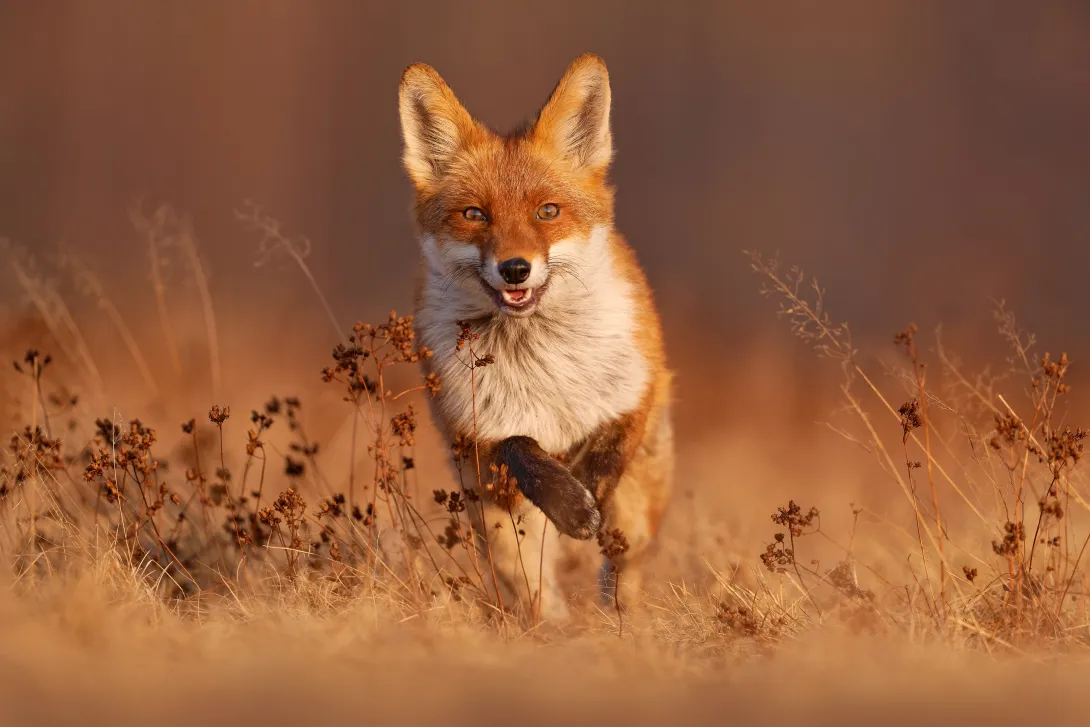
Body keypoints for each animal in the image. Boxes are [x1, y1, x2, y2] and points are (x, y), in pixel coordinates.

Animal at [397, 53, 674, 623]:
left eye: (547, 211)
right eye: (475, 214)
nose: (515, 269)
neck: (543, 362)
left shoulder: (640, 384)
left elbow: (610, 445)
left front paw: (586, 489)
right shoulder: (475, 433)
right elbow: (520, 447)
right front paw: (568, 500)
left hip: (638, 513)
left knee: (623, 571)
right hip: (498, 531)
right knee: (534, 590)